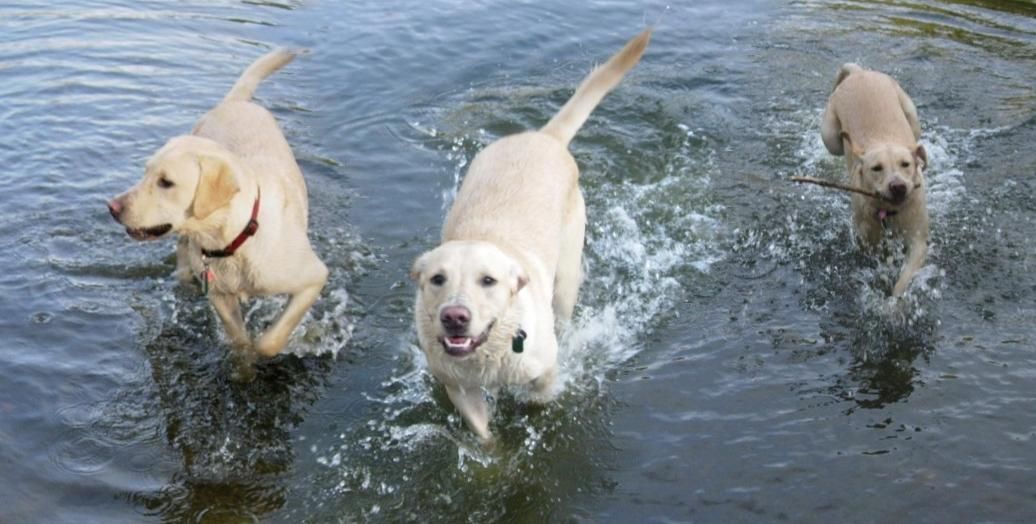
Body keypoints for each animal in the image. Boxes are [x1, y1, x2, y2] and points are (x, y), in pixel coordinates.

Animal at [109, 49, 327, 362]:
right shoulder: (219, 295)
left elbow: (270, 341)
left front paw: (263, 350)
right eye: (145, 172)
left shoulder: (314, 278)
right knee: (183, 249)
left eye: (166, 182)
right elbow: (239, 340)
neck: (236, 236)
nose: (111, 207)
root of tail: (235, 101)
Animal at [410, 28, 646, 441]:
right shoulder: (459, 388)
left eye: (488, 280)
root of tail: (545, 137)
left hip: (566, 280)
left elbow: (538, 399)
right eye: (438, 279)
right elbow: (484, 436)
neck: (488, 352)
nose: (454, 317)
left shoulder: (544, 369)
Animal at [820, 62, 928, 294]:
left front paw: (895, 299)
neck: (890, 212)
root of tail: (859, 73)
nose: (898, 186)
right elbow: (879, 258)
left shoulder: (918, 240)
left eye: (906, 164)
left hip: (911, 115)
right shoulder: (868, 240)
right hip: (830, 135)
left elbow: (905, 277)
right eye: (876, 168)